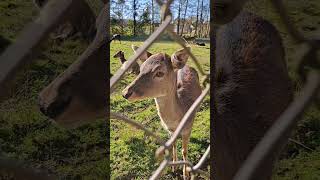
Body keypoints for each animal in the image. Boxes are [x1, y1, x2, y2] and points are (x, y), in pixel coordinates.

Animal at [121, 46, 201, 179]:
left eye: (159, 73)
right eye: (141, 69)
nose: (125, 93)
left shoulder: (188, 128)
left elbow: (184, 151)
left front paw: (186, 174)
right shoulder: (170, 130)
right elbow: (173, 145)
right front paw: (174, 167)